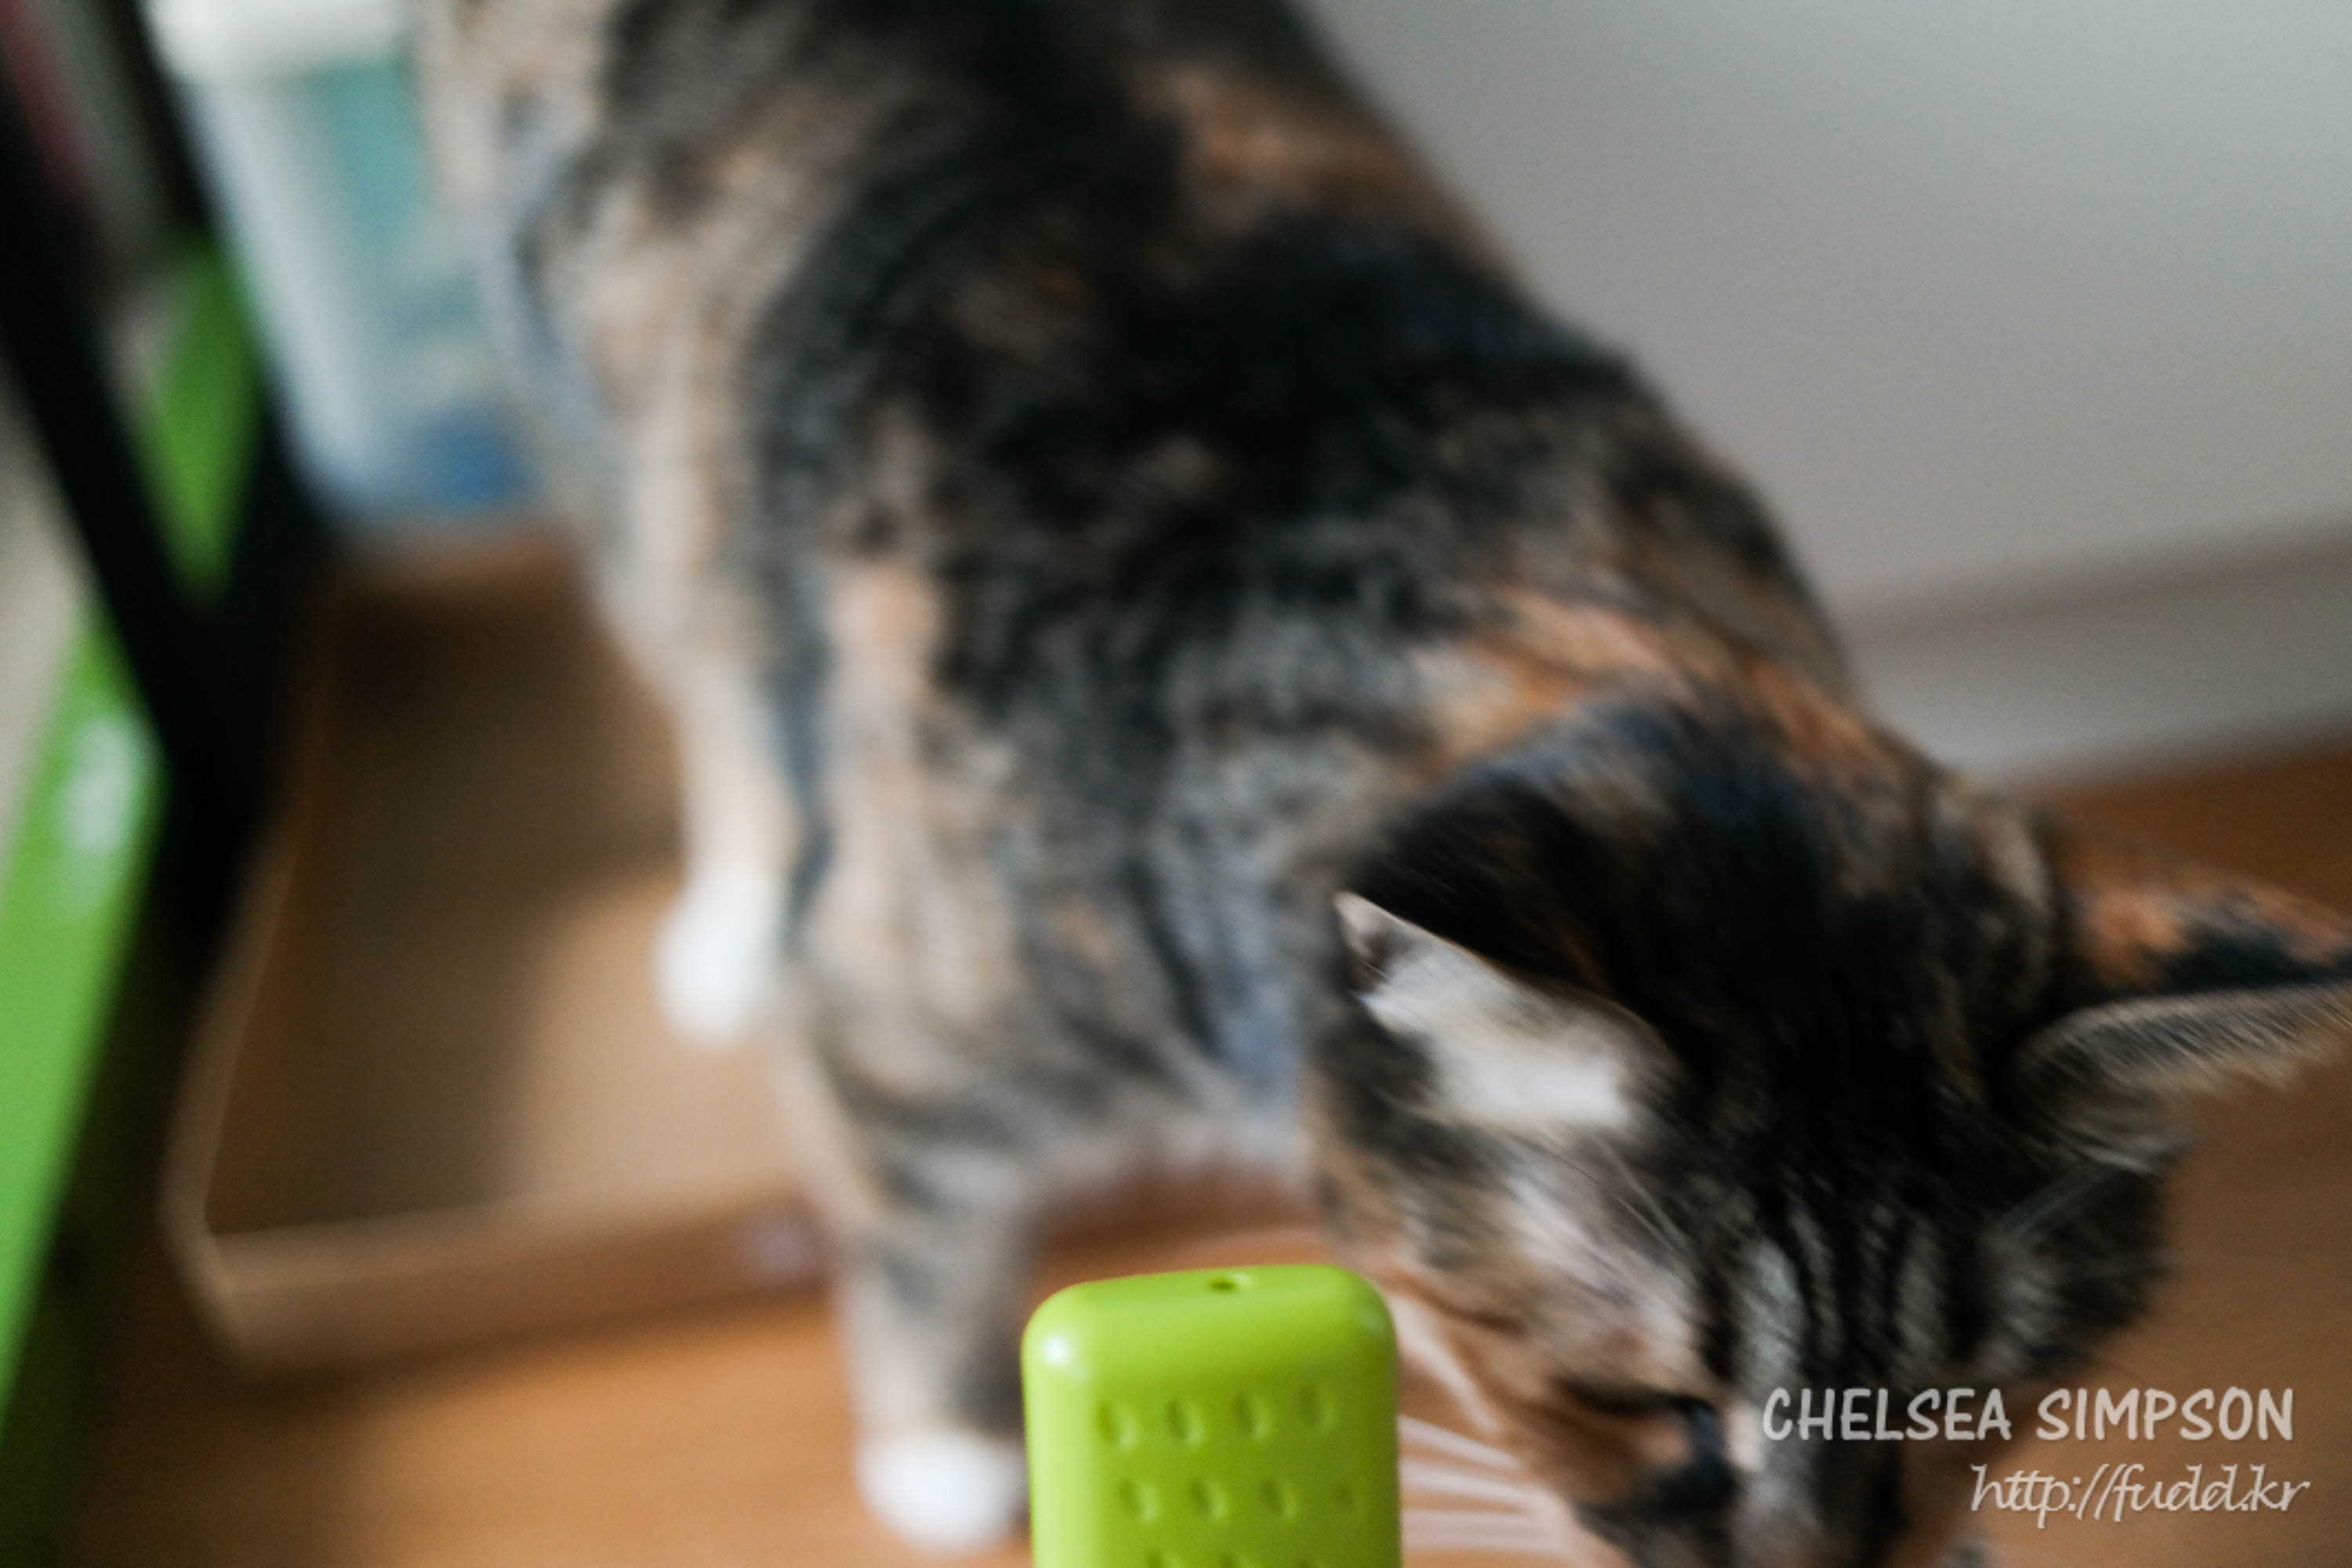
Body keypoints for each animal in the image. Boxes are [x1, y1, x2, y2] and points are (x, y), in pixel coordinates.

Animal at [416, 2, 2352, 1562]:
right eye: (1649, 1406)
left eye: (1960, 1406)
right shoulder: (908, 1013)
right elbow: (911, 1210)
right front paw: (946, 1451)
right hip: (604, 454)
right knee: (697, 658)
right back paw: (732, 916)